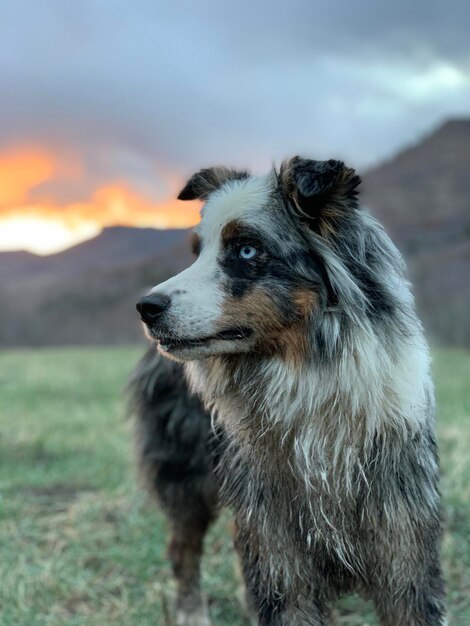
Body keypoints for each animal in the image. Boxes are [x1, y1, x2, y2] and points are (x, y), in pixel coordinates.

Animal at [134, 157, 446, 624]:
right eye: (196, 252)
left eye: (247, 250)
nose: (146, 308)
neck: (309, 380)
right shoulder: (278, 546)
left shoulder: (405, 547)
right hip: (186, 478)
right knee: (183, 548)